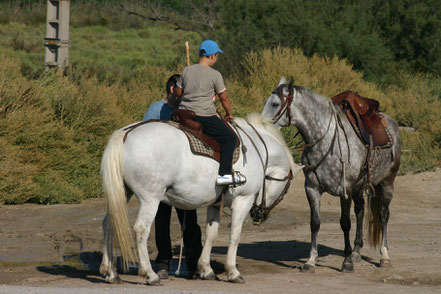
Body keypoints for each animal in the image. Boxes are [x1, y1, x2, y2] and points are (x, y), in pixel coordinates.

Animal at [98, 113, 300, 284]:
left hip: (123, 193)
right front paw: (233, 271)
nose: (261, 216)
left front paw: (205, 269)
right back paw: (150, 274)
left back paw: (111, 272)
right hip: (150, 198)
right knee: (141, 229)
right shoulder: (244, 199)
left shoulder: (215, 204)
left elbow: (211, 234)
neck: (255, 149)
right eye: (285, 188)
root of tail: (126, 133)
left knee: (109, 222)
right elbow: (235, 235)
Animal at [262, 77, 402, 272]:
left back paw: (385, 256)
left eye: (275, 103)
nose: (260, 125)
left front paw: (347, 262)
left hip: (387, 182)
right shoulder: (312, 188)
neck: (326, 142)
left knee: (383, 215)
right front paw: (311, 260)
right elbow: (315, 223)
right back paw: (357, 251)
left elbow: (345, 223)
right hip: (360, 187)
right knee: (360, 212)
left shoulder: (345, 190)